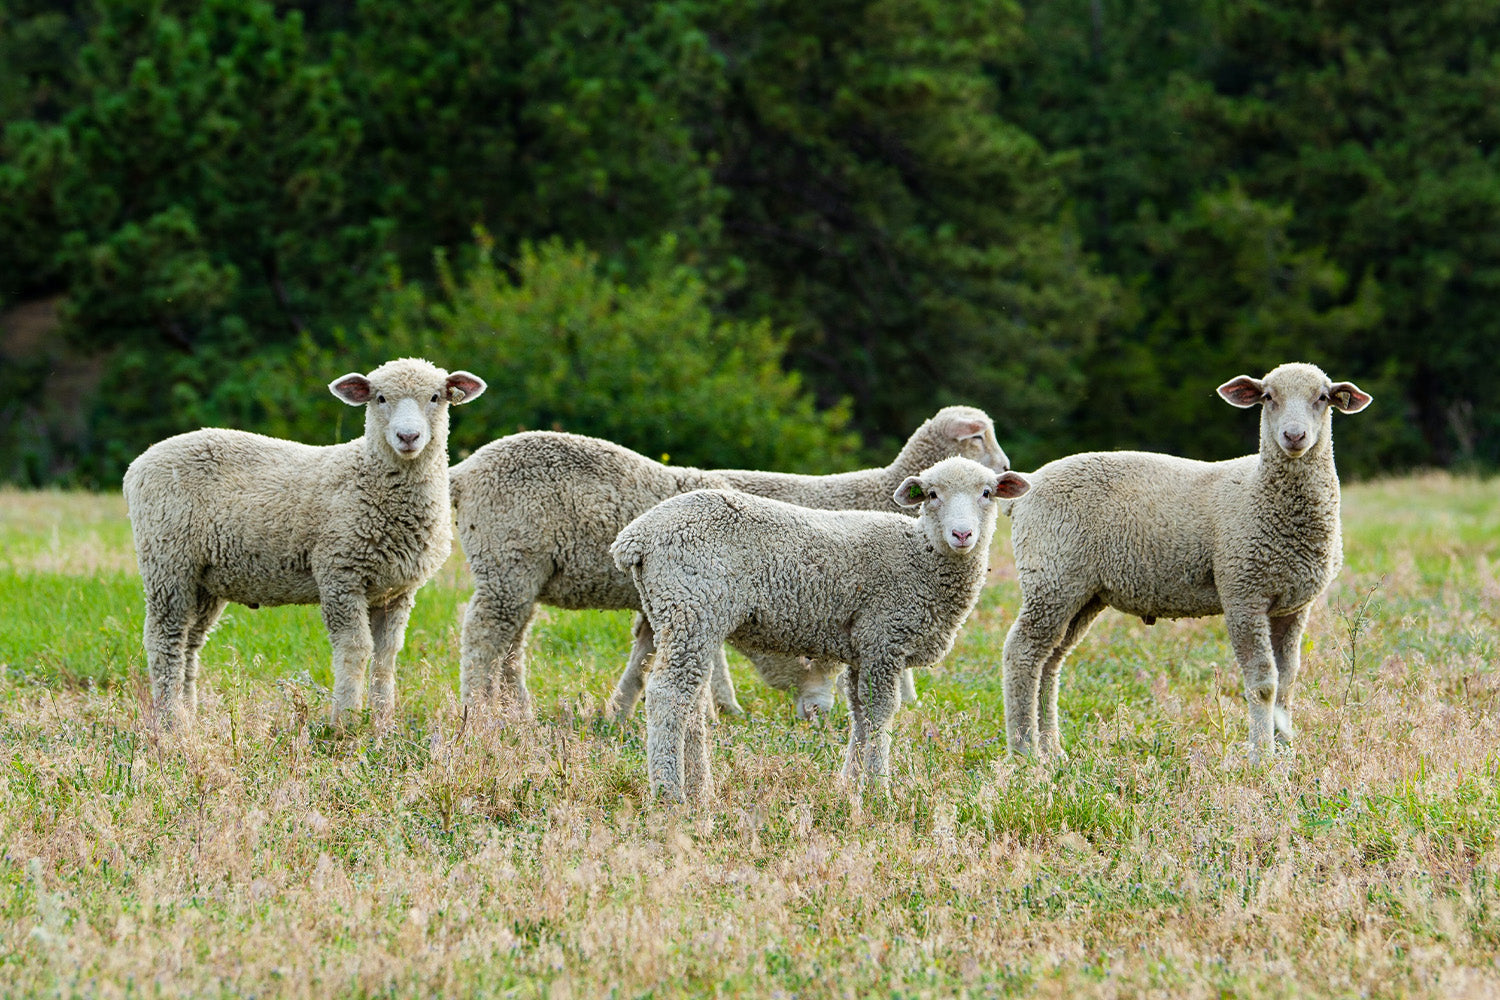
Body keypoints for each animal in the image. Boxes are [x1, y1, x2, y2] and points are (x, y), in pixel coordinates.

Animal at [124, 358, 486, 728]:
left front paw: (383, 721)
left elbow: (386, 655)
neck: (369, 477)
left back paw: (188, 713)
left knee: (190, 642)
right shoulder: (340, 574)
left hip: (204, 579)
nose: (408, 437)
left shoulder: (396, 590)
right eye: (380, 398)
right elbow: (355, 649)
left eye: (436, 397)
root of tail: (139, 463)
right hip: (167, 560)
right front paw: (345, 721)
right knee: (165, 640)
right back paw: (170, 719)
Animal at [444, 404, 1008, 719]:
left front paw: (620, 711)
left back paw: (515, 708)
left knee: (511, 642)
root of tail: (464, 471)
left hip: (523, 573)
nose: (1006, 468)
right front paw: (725, 710)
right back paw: (478, 711)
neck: (872, 491)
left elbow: (647, 653)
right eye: (979, 436)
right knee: (483, 634)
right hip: (508, 564)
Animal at [609, 458, 1032, 803]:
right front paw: (878, 791)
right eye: (931, 495)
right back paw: (670, 794)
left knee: (691, 700)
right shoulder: (883, 638)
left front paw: (849, 784)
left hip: (680, 615)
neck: (920, 556)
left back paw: (700, 789)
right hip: (692, 605)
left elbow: (860, 714)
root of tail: (637, 537)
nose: (962, 535)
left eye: (987, 493)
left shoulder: (862, 648)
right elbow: (880, 713)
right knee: (667, 695)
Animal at [1002, 364, 1368, 761]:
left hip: (1081, 591)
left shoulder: (1293, 605)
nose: (1294, 435)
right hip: (1051, 574)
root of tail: (1028, 487)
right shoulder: (1242, 594)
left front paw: (1285, 751)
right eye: (1269, 397)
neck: (1261, 493)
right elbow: (1263, 683)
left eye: (1323, 397)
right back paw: (1025, 751)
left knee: (1050, 661)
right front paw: (1261, 755)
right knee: (1022, 653)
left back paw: (1052, 750)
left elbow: (1286, 681)